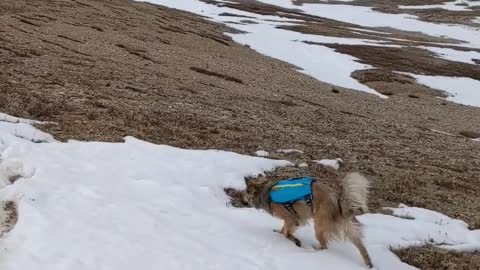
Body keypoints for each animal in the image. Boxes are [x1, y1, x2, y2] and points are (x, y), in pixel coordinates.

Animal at [242, 173, 374, 268]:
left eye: (246, 192)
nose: (241, 200)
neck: (266, 191)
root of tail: (338, 201)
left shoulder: (291, 218)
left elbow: (286, 232)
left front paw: (295, 241)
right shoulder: (289, 219)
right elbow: (283, 230)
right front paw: (279, 232)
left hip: (319, 226)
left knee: (324, 246)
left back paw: (313, 253)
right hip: (350, 229)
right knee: (362, 248)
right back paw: (369, 264)